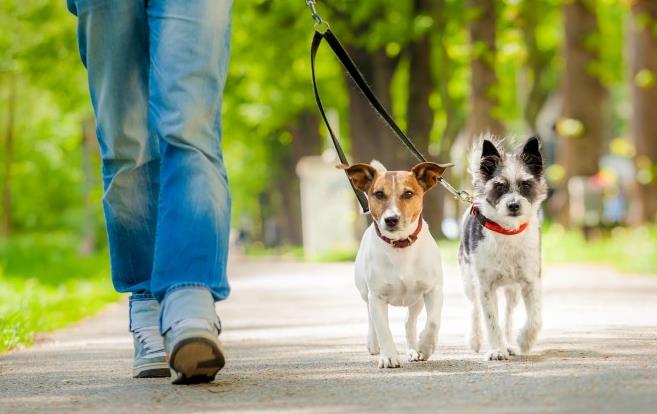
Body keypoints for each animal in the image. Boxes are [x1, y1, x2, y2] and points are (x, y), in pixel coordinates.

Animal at [338, 159, 452, 368]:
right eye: (378, 194)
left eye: (408, 193)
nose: (391, 219)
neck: (400, 245)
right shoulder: (377, 296)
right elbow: (383, 328)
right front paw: (389, 356)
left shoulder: (433, 290)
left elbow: (433, 322)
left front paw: (425, 346)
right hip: (365, 293)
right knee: (371, 318)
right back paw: (373, 343)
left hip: (416, 300)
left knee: (409, 321)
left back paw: (413, 349)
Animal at [458, 135, 544, 360]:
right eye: (499, 186)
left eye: (525, 184)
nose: (513, 205)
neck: (507, 232)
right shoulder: (485, 286)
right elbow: (490, 320)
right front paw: (496, 350)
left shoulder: (531, 281)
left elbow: (535, 318)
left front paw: (524, 341)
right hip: (469, 280)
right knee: (474, 308)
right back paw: (475, 339)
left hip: (512, 291)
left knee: (508, 315)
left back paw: (510, 343)